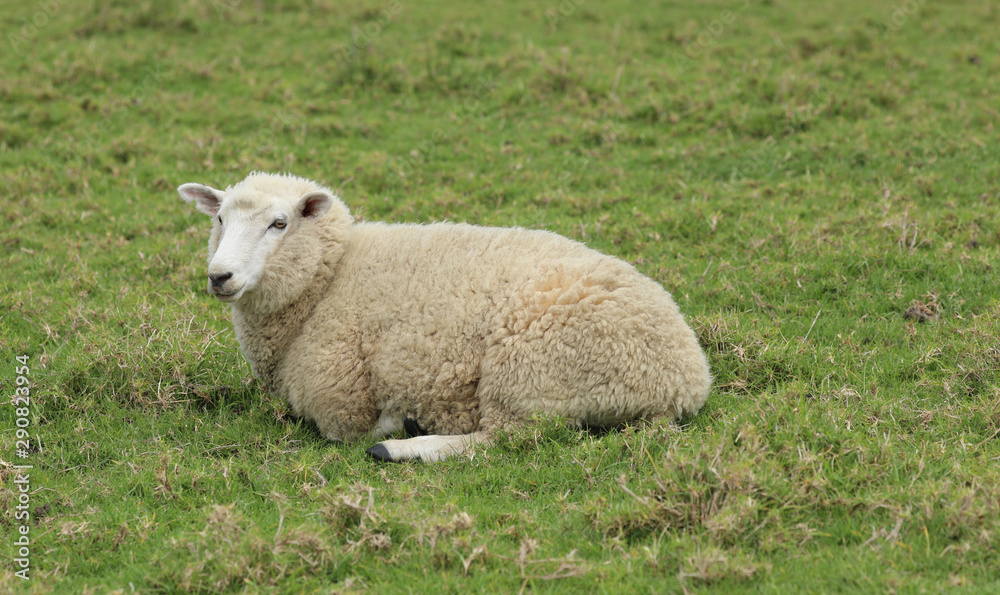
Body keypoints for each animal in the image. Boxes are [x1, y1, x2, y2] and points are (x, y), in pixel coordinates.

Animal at [178, 173, 712, 466]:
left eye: (279, 223)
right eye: (220, 219)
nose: (219, 276)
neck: (328, 281)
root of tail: (686, 379)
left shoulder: (339, 399)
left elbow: (350, 430)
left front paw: (393, 425)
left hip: (529, 372)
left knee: (510, 439)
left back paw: (404, 446)